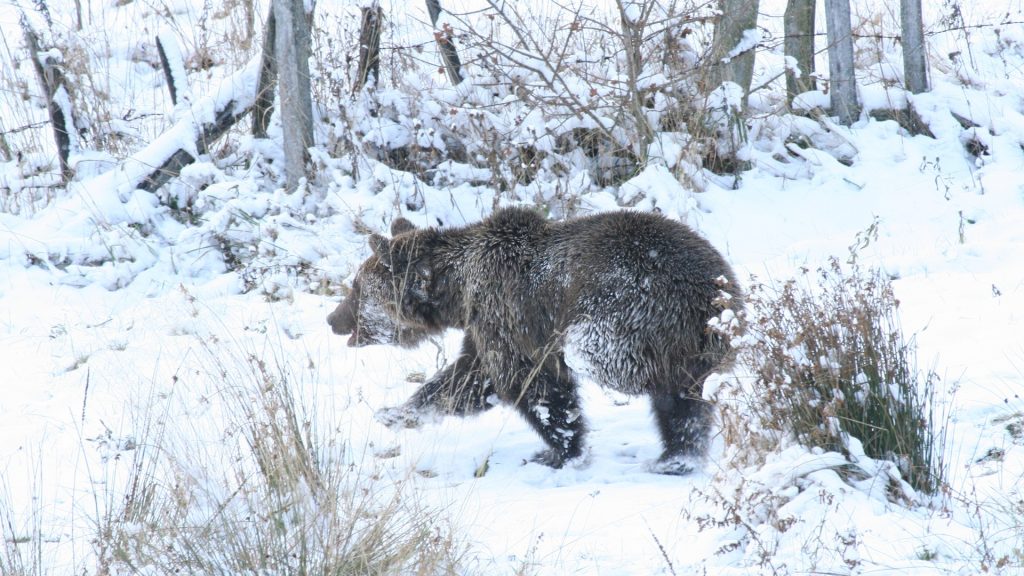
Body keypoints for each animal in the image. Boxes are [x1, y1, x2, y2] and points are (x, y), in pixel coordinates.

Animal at [331, 204, 741, 471]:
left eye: (356, 286)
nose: (332, 319)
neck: (458, 291)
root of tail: (721, 294)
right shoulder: (486, 329)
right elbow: (465, 381)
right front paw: (395, 413)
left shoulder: (509, 318)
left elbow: (533, 386)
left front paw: (557, 451)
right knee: (683, 403)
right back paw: (678, 457)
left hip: (636, 311)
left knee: (614, 362)